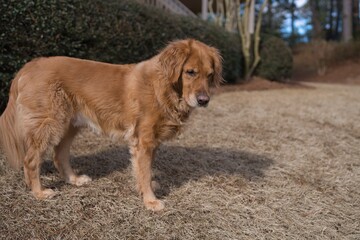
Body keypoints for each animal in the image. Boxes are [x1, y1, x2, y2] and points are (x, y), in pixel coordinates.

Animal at [0, 38, 222, 211]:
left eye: (210, 74)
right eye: (190, 72)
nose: (204, 100)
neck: (165, 87)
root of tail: (30, 65)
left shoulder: (152, 141)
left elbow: (145, 171)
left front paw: (147, 188)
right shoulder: (144, 140)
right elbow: (144, 171)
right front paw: (150, 201)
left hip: (69, 125)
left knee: (59, 155)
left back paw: (74, 180)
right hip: (49, 124)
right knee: (31, 160)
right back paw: (39, 192)